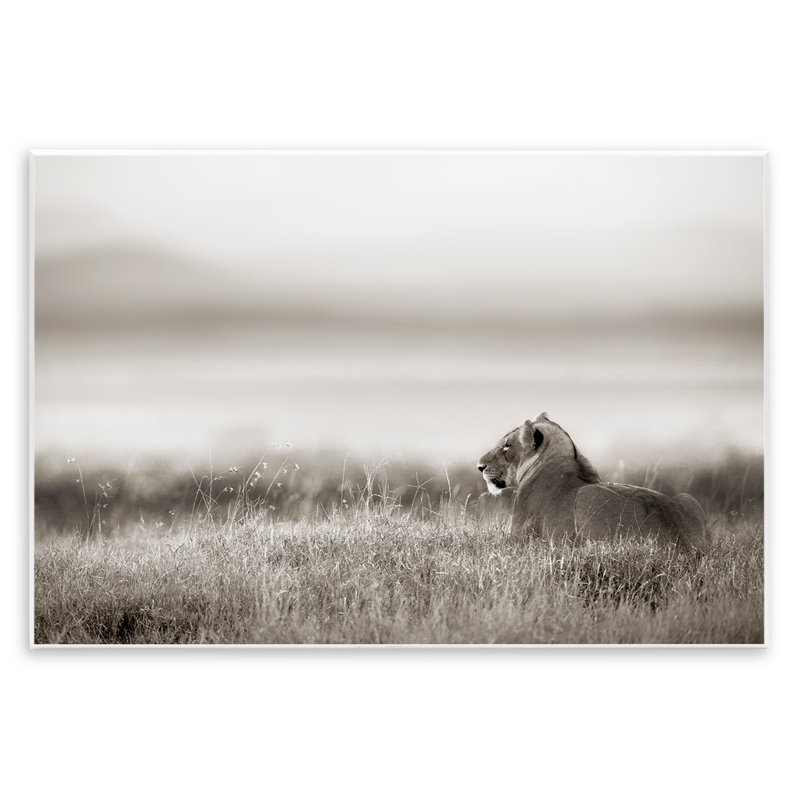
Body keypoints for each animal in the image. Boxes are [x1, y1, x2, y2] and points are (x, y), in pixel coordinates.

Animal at [477, 413, 710, 552]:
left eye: (507, 445)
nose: (480, 466)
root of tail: (683, 545)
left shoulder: (518, 539)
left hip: (586, 496)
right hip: (688, 498)